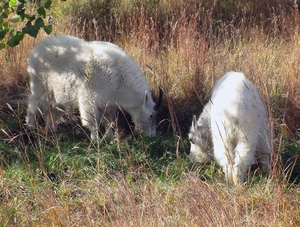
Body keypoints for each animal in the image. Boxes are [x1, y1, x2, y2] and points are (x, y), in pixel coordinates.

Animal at [26, 35, 163, 140]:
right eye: (151, 115)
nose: (151, 136)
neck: (120, 79)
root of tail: (34, 52)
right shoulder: (89, 98)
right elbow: (92, 121)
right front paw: (96, 139)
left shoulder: (109, 103)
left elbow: (109, 121)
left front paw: (109, 136)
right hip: (41, 87)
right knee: (33, 105)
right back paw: (31, 126)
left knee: (51, 110)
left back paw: (53, 129)